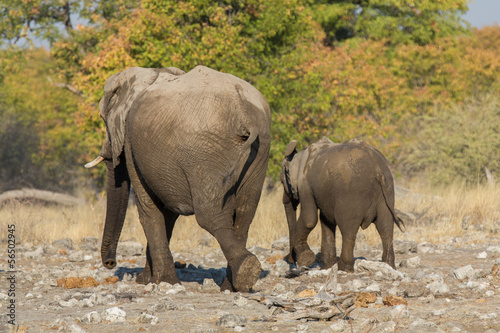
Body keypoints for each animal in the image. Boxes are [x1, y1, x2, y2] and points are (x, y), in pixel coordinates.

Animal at [88, 65, 272, 290]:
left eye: (103, 119)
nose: (110, 263)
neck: (149, 74)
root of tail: (243, 110)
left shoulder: (132, 143)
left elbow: (149, 208)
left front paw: (163, 282)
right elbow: (167, 214)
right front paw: (147, 280)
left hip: (204, 153)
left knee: (210, 215)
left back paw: (247, 271)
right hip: (258, 151)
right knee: (245, 214)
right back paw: (233, 286)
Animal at [280, 136, 404, 272]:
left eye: (281, 181)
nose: (290, 260)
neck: (300, 153)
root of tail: (378, 168)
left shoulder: (305, 184)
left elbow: (309, 219)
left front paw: (306, 259)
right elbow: (326, 220)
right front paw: (326, 267)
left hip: (351, 194)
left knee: (348, 229)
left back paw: (344, 268)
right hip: (387, 191)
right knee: (385, 227)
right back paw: (389, 265)